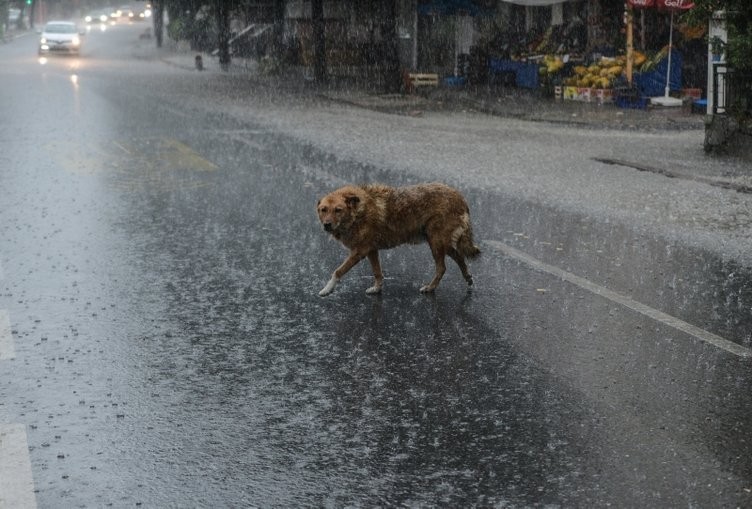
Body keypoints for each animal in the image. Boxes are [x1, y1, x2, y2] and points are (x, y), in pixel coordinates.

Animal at [314, 182, 478, 294]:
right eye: (323, 210)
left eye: (338, 210)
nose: (326, 225)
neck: (358, 213)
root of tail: (460, 197)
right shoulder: (371, 250)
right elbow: (377, 272)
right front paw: (377, 289)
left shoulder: (359, 251)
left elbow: (337, 271)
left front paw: (326, 289)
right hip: (442, 243)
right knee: (460, 257)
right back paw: (468, 278)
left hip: (436, 242)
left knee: (442, 268)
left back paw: (430, 288)